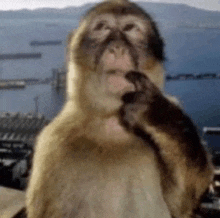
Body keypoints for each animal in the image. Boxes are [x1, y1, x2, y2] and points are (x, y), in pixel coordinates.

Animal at [25, 0, 213, 218]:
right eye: (102, 27)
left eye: (130, 28)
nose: (117, 48)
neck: (112, 121)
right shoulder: (52, 145)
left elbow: (181, 203)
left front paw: (155, 113)